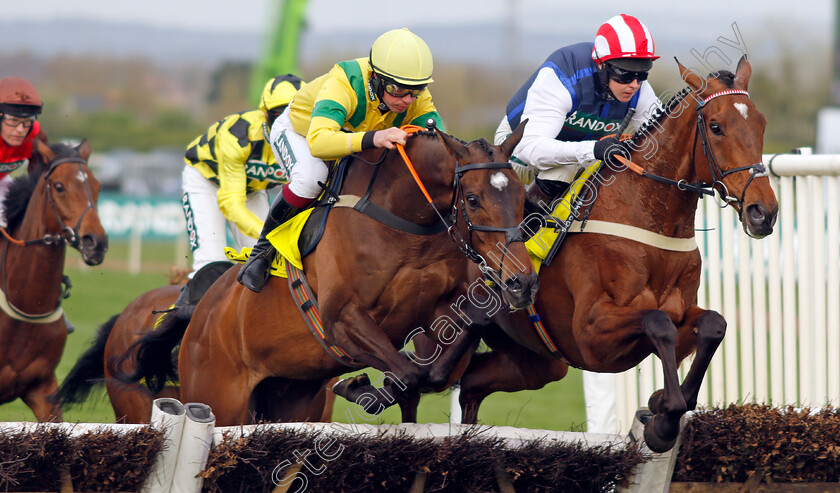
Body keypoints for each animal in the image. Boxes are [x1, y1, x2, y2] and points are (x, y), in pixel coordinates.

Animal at [118, 122, 540, 422]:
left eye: (523, 197)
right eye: (473, 199)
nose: (522, 282)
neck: (402, 224)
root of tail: (198, 313)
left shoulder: (437, 310)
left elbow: (441, 364)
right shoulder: (342, 319)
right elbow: (408, 374)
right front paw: (361, 388)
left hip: (290, 400)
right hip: (218, 400)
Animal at [404, 55, 776, 452]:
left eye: (761, 123)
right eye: (717, 127)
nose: (764, 212)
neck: (649, 219)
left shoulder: (680, 312)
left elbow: (712, 325)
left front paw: (662, 404)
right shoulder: (592, 335)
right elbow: (657, 323)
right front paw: (664, 420)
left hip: (536, 361)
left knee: (471, 385)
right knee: (419, 381)